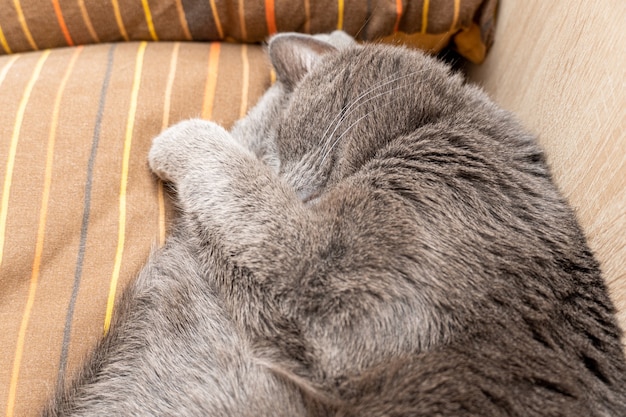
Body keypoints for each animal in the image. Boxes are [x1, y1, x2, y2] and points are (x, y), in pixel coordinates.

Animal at [44, 30, 624, 414]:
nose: (281, 176)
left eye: (273, 148)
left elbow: (239, 189)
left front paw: (178, 139)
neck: (442, 129)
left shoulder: (347, 272)